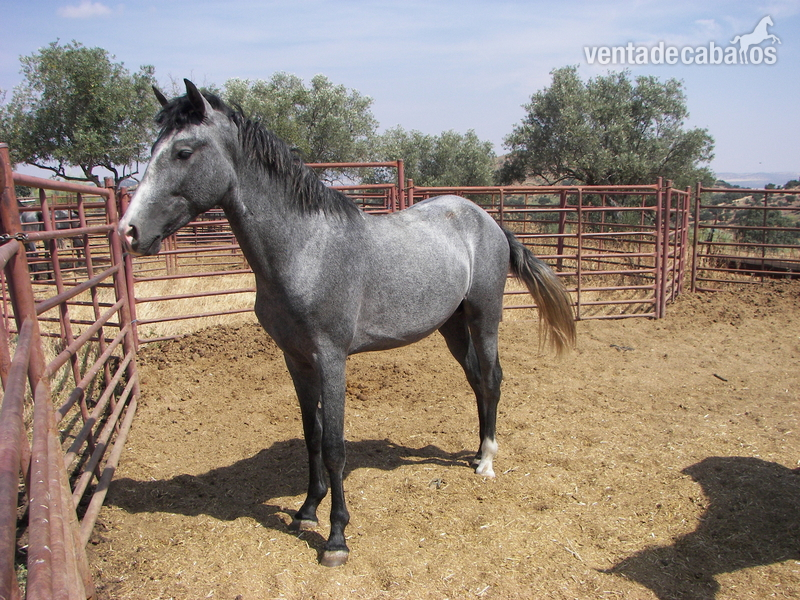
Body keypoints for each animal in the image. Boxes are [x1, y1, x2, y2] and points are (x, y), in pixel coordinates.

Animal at [118, 79, 576, 567]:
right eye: (153, 148)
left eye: (183, 151)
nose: (128, 231)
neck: (307, 249)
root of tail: (487, 220)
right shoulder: (297, 359)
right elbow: (312, 435)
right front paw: (306, 510)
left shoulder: (331, 359)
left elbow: (335, 447)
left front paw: (337, 536)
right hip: (451, 325)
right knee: (475, 380)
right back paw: (473, 454)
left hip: (483, 317)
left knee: (491, 378)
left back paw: (487, 461)